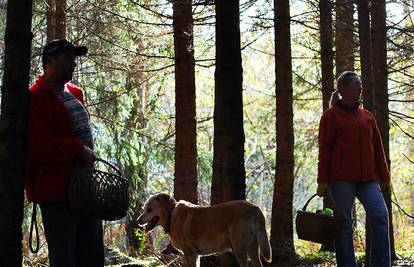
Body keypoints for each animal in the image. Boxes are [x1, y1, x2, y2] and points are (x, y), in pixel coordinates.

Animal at [136, 195, 272, 267]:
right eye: (144, 208)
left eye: (149, 209)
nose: (137, 221)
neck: (171, 214)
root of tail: (254, 208)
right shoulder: (194, 255)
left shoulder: (189, 254)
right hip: (252, 248)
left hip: (239, 249)